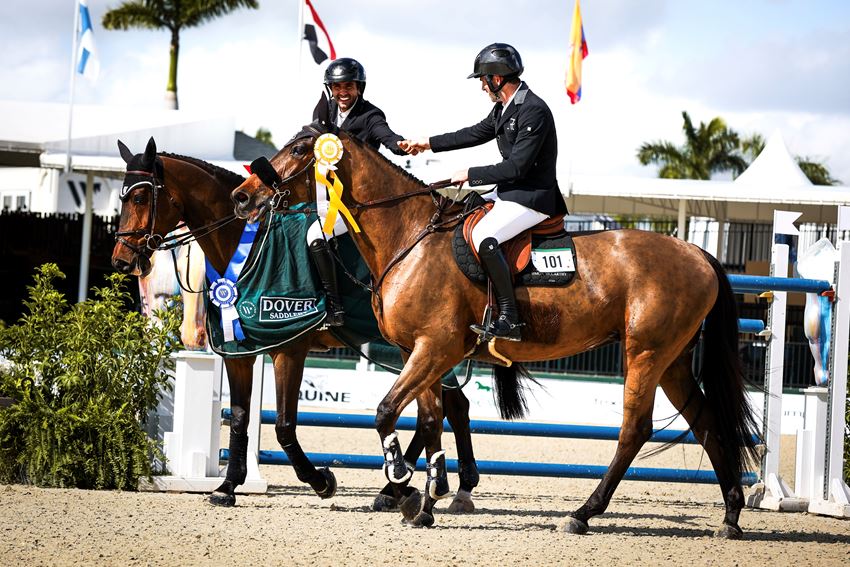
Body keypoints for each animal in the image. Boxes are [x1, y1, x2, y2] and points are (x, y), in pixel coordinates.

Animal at [110, 138, 480, 516]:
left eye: (139, 197)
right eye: (122, 198)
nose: (122, 261)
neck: (248, 249)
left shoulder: (288, 349)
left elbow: (285, 427)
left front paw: (321, 481)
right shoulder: (239, 352)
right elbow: (241, 418)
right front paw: (227, 487)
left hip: (426, 345)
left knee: (444, 409)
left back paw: (409, 490)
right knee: (449, 408)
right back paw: (436, 489)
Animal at [229, 124, 760, 536]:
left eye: (302, 148)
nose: (242, 197)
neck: (410, 237)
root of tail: (697, 253)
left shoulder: (434, 348)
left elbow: (385, 413)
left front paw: (400, 479)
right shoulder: (424, 352)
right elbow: (430, 421)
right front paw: (425, 502)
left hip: (645, 355)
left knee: (635, 429)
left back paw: (584, 513)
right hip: (671, 362)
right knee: (707, 422)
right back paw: (731, 514)